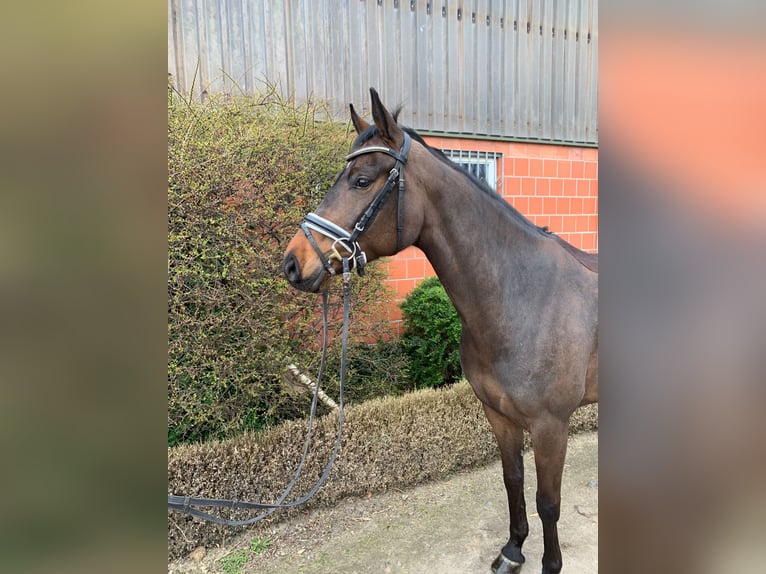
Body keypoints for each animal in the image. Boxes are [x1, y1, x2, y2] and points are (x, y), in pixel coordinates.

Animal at [282, 90, 600, 574]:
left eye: (361, 180)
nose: (293, 263)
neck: (522, 296)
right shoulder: (498, 415)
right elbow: (512, 480)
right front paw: (512, 550)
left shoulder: (551, 426)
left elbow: (549, 503)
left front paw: (549, 564)